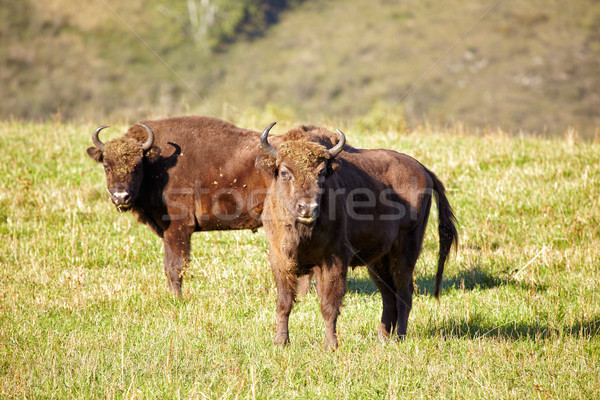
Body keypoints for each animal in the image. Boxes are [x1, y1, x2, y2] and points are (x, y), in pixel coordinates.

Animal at [85, 116, 272, 296]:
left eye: (137, 165)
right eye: (106, 166)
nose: (121, 197)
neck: (156, 164)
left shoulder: (177, 228)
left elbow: (176, 266)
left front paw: (177, 298)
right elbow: (168, 266)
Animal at [255, 123, 458, 348]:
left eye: (322, 173)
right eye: (284, 172)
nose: (308, 208)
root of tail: (424, 170)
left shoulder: (334, 260)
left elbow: (329, 305)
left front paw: (331, 345)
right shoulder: (280, 259)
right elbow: (284, 303)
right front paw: (280, 342)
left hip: (406, 250)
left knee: (404, 293)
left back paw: (400, 337)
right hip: (378, 261)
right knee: (389, 296)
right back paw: (382, 339)